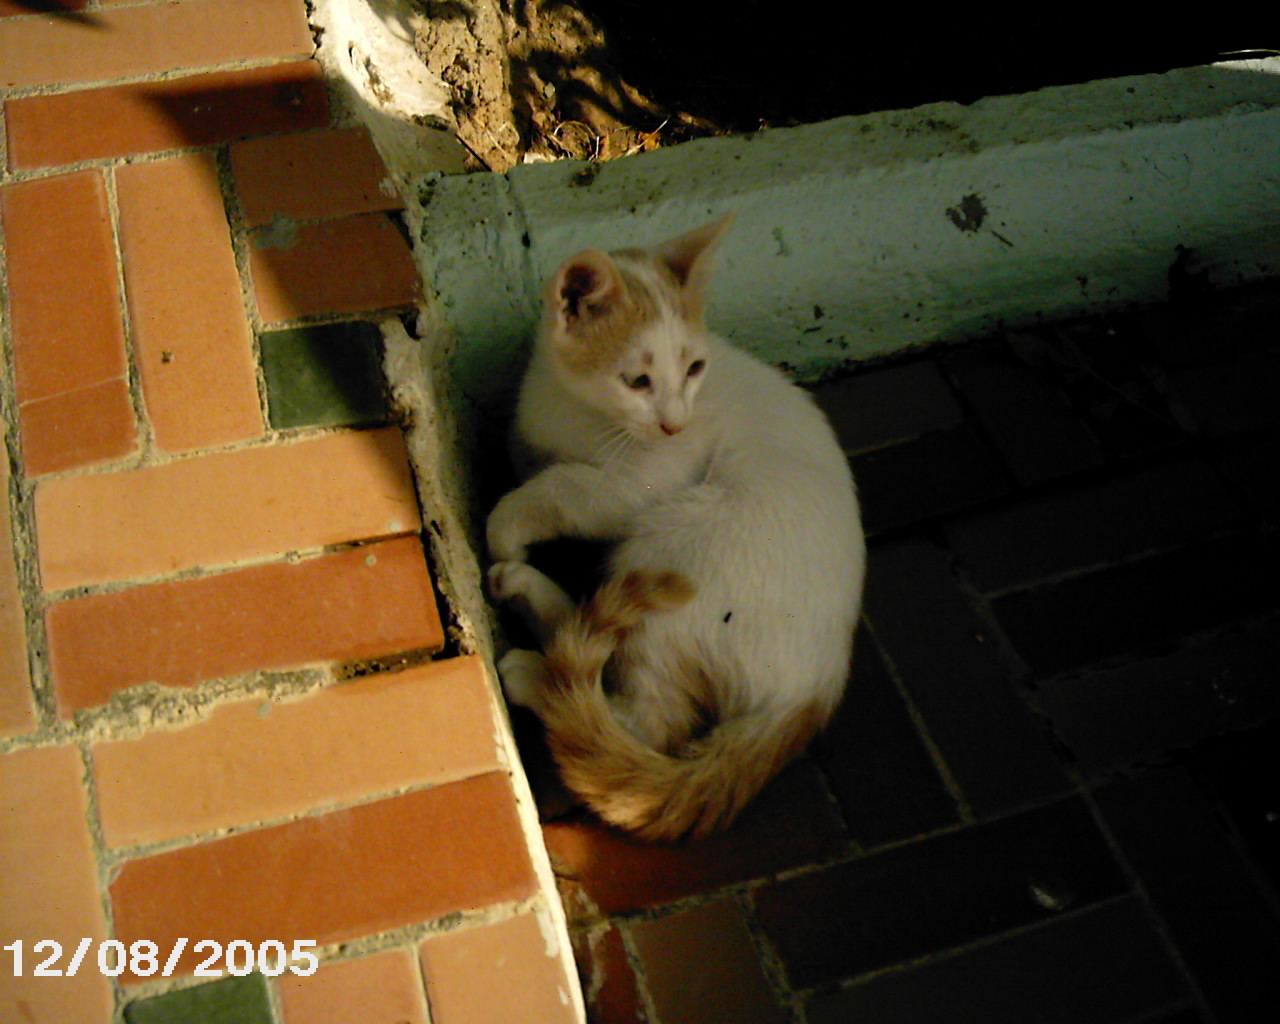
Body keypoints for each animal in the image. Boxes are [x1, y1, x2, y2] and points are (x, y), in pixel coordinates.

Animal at [486, 215, 865, 840]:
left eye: (693, 369)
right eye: (637, 380)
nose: (674, 423)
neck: (579, 418)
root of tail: (814, 688)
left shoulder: (643, 484)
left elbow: (565, 490)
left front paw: (505, 523)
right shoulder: (533, 432)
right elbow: (530, 458)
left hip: (674, 538)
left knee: (644, 720)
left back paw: (536, 672)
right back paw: (533, 603)